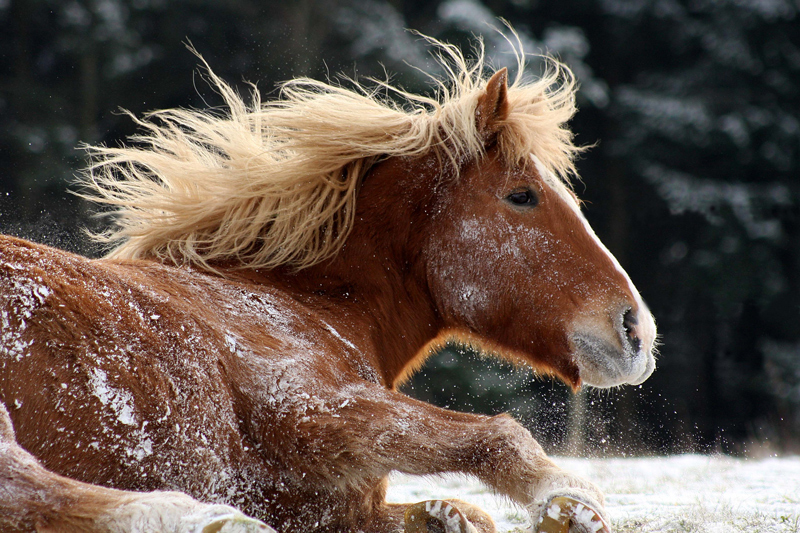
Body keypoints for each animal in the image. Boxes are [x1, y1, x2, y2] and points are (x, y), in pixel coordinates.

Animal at [0, 38, 656, 532]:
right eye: (522, 195)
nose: (636, 332)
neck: (308, 302)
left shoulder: (338, 508)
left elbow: (460, 512)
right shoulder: (314, 407)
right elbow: (497, 435)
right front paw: (569, 503)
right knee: (31, 492)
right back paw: (218, 523)